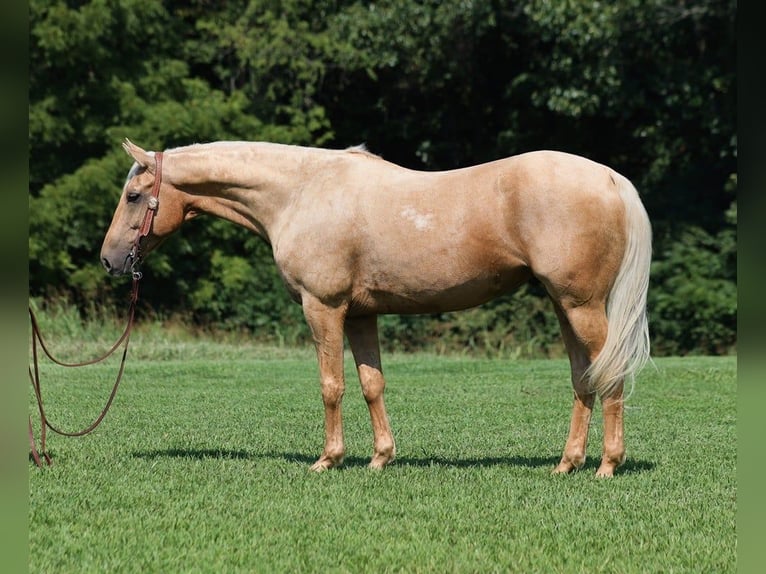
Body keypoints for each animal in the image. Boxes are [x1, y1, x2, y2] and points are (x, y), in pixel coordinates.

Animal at [100, 138, 656, 476]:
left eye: (133, 196)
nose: (109, 260)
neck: (301, 192)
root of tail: (609, 178)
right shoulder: (362, 314)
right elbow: (371, 384)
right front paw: (380, 458)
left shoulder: (323, 307)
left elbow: (332, 385)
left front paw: (328, 460)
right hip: (567, 307)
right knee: (584, 378)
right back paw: (567, 463)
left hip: (582, 307)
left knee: (610, 375)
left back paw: (607, 465)